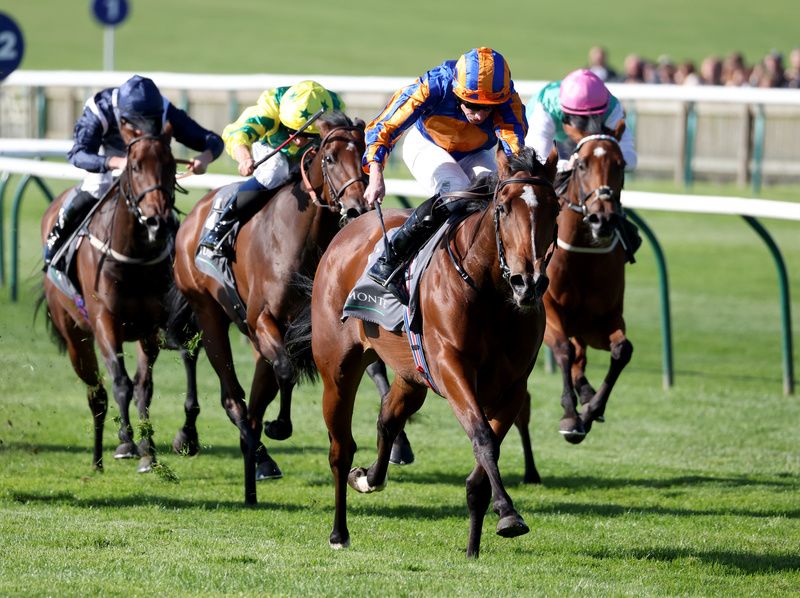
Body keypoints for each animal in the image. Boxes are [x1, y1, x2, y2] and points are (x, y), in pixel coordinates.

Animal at [38, 125, 180, 474]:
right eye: (135, 167)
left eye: (171, 165)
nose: (158, 221)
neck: (133, 258)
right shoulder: (105, 321)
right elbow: (121, 382)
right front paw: (127, 442)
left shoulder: (150, 328)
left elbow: (144, 387)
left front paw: (148, 452)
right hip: (75, 338)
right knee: (97, 394)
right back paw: (97, 459)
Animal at [173, 111, 372, 506]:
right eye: (330, 158)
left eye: (364, 156)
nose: (357, 208)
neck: (300, 237)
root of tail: (191, 220)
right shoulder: (263, 318)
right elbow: (286, 370)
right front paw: (280, 425)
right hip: (209, 311)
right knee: (233, 397)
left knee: (250, 407)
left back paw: (255, 473)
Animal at [310, 148, 560, 560]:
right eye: (503, 208)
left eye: (554, 208)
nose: (528, 282)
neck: (491, 293)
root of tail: (349, 229)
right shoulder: (451, 368)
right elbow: (482, 437)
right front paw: (508, 513)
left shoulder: (512, 386)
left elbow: (484, 456)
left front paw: (474, 545)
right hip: (337, 369)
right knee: (340, 449)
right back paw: (338, 532)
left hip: (411, 376)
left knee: (387, 418)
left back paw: (369, 478)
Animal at [544, 123, 632, 446]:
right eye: (581, 164)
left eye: (621, 164)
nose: (602, 219)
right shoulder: (548, 311)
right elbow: (563, 350)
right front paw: (571, 416)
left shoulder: (602, 320)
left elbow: (622, 351)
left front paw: (592, 410)